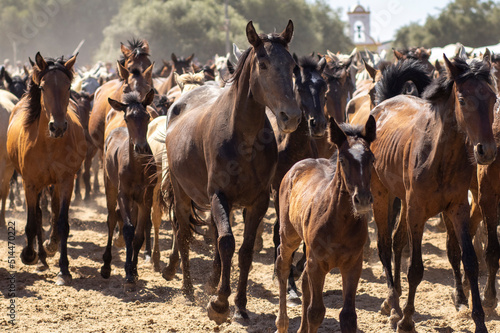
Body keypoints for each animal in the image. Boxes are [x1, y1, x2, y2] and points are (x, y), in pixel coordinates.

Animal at [6, 53, 86, 284]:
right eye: (42, 88)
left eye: (68, 86)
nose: (57, 126)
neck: (49, 143)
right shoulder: (30, 183)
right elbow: (32, 221)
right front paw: (28, 254)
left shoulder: (66, 180)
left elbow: (62, 222)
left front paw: (64, 270)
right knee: (39, 214)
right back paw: (40, 256)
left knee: (53, 211)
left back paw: (49, 247)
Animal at [100, 89, 156, 286]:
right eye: (128, 118)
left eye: (147, 117)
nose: (140, 147)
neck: (137, 168)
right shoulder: (123, 194)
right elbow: (128, 229)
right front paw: (128, 273)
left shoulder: (146, 198)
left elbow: (138, 235)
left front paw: (134, 270)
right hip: (109, 185)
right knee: (111, 219)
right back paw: (106, 266)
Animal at [164, 20, 300, 322]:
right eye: (263, 63)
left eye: (292, 65)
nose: (291, 116)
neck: (244, 140)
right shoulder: (219, 195)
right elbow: (226, 242)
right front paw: (219, 303)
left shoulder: (258, 201)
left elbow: (246, 251)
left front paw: (240, 305)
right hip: (182, 194)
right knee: (184, 234)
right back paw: (188, 289)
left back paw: (211, 282)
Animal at [276, 116, 376, 332]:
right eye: (343, 160)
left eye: (372, 160)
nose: (363, 199)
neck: (340, 223)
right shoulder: (318, 263)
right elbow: (316, 312)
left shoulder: (353, 265)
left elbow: (348, 316)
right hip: (289, 235)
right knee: (282, 265)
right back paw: (282, 323)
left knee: (305, 280)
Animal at [368, 50, 496, 330]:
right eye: (462, 99)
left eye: (493, 98)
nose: (487, 151)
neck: (439, 157)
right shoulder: (417, 212)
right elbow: (415, 268)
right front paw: (407, 320)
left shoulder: (457, 208)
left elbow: (469, 261)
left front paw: (479, 320)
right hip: (382, 195)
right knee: (384, 244)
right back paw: (393, 305)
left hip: (403, 200)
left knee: (396, 241)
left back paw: (395, 298)